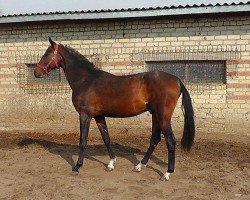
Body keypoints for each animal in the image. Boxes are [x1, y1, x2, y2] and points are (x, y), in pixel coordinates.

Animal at [34, 37, 195, 180]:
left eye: (47, 54)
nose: (36, 72)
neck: (86, 80)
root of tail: (177, 80)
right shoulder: (99, 116)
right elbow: (106, 138)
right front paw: (111, 163)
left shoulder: (85, 115)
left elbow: (83, 140)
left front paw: (77, 167)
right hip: (155, 115)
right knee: (154, 139)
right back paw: (140, 166)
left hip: (163, 117)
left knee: (170, 141)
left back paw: (167, 173)